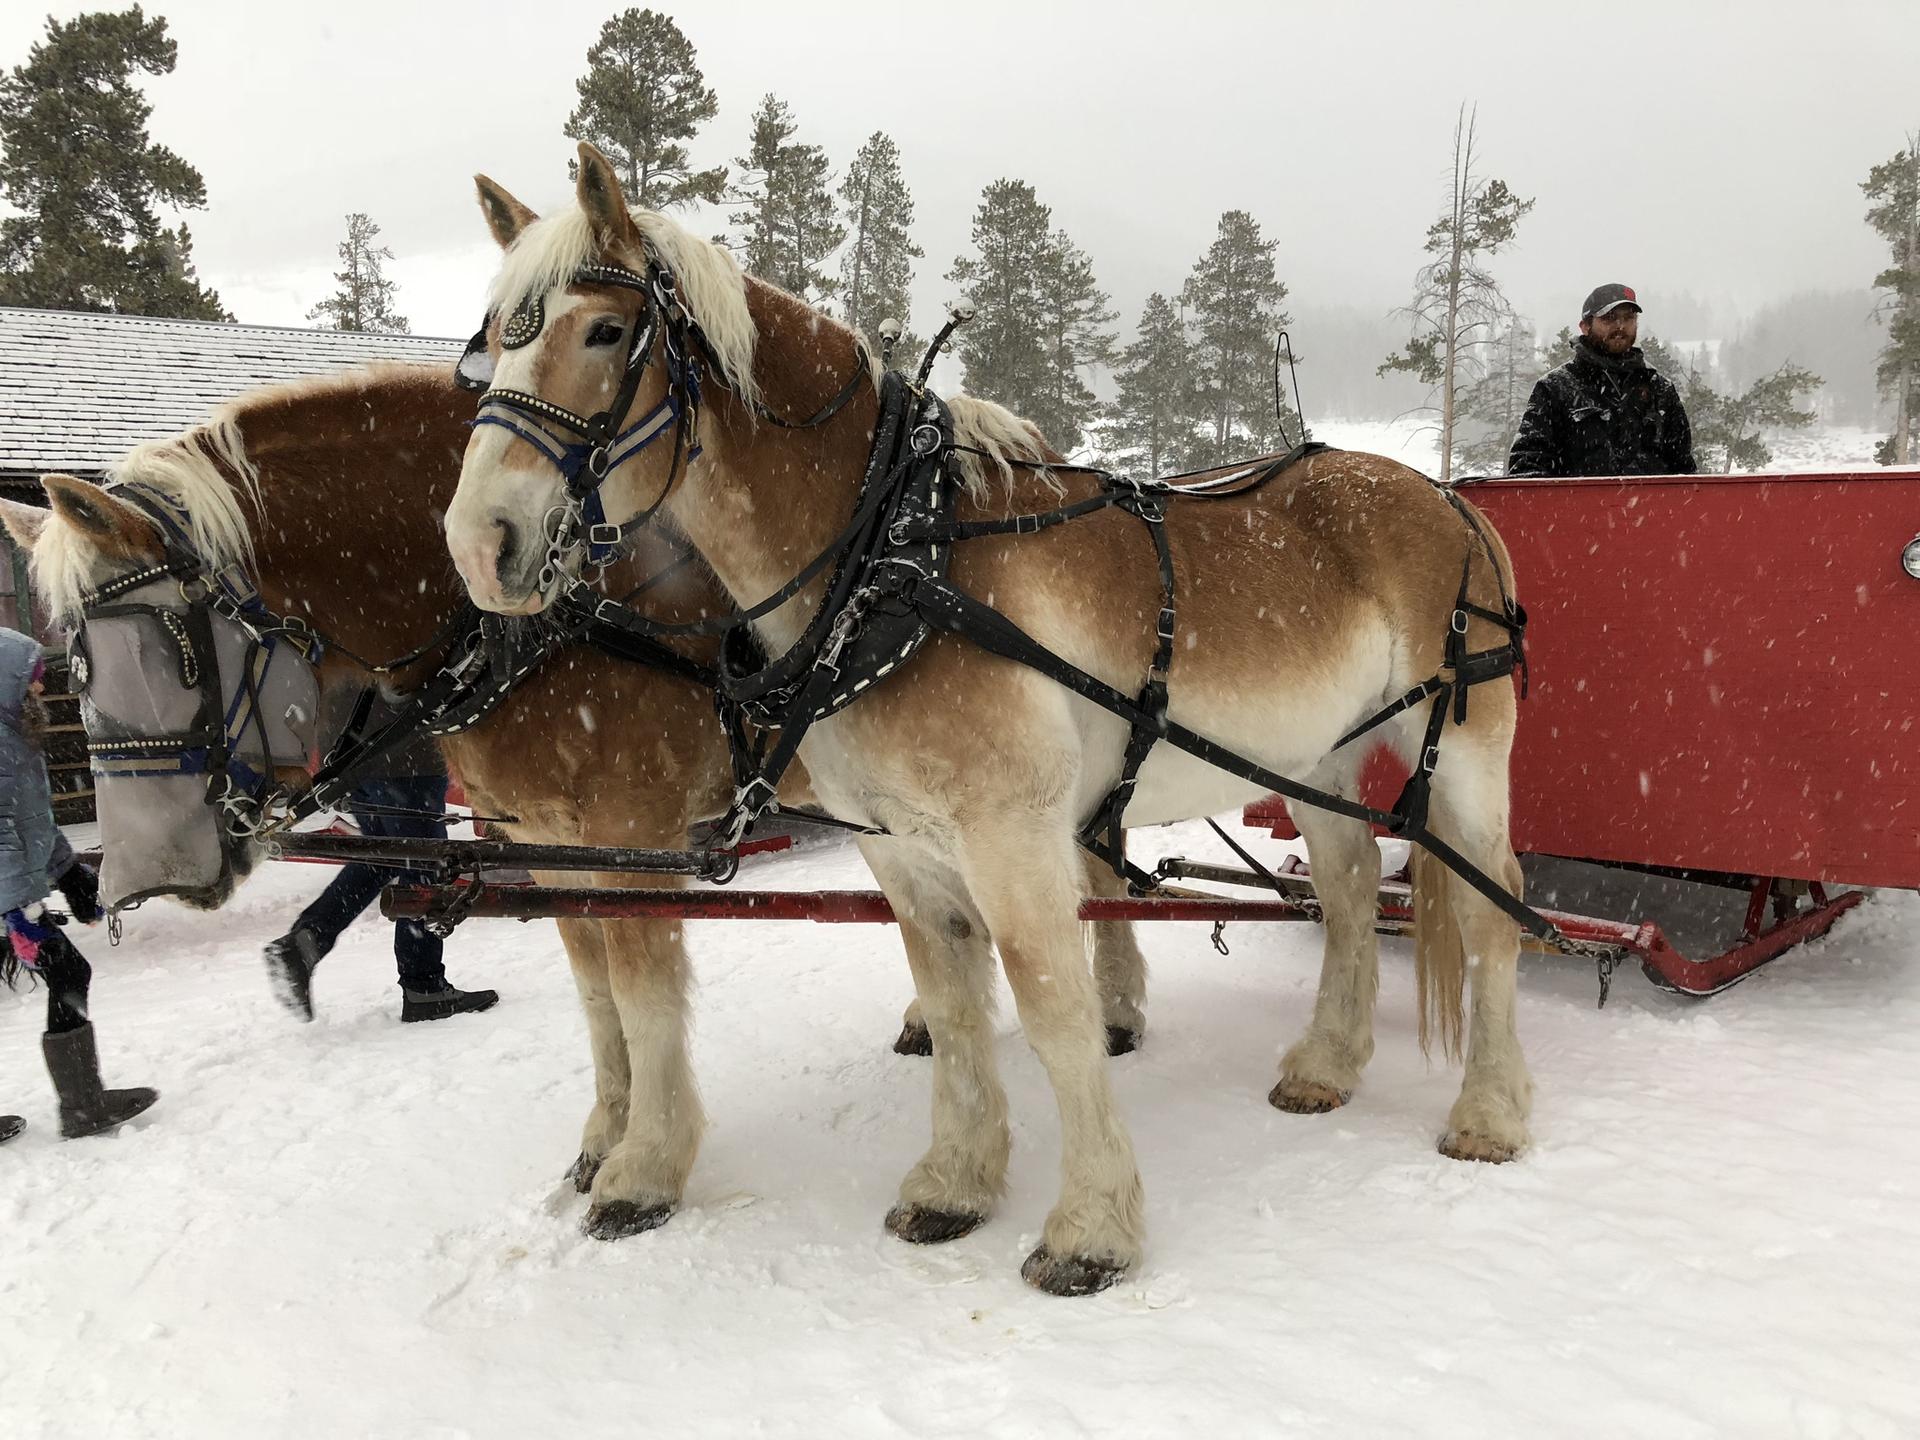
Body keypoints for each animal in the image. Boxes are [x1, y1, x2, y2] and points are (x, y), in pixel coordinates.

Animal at [0, 362, 1151, 1240]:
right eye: (73, 664)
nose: (132, 877)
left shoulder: (625, 839)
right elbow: (599, 1004)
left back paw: (1112, 1006)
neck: (548, 624)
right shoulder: (547, 846)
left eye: (172, 646)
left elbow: (643, 1000)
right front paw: (605, 1139)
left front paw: (648, 1167)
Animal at [441, 145, 1534, 1296]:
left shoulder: (1009, 834)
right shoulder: (901, 847)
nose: (479, 544)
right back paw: (1328, 1065)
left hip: (1462, 748)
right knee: (1352, 884)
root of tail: (1451, 500)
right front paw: (954, 1184)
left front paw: (1090, 1228)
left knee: (1493, 905)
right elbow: (958, 1003)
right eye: (490, 346)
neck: (892, 556)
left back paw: (1489, 1113)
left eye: (604, 333)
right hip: (1314, 755)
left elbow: (1053, 1007)